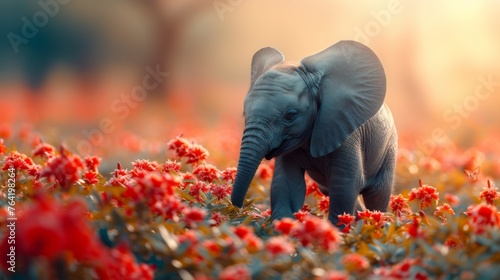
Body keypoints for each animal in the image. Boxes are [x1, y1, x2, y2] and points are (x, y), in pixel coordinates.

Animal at [230, 40, 398, 224]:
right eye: (244, 113)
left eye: (290, 115)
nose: (239, 209)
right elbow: (287, 183)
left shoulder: (343, 129)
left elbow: (346, 183)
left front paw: (338, 228)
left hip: (389, 148)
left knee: (377, 194)